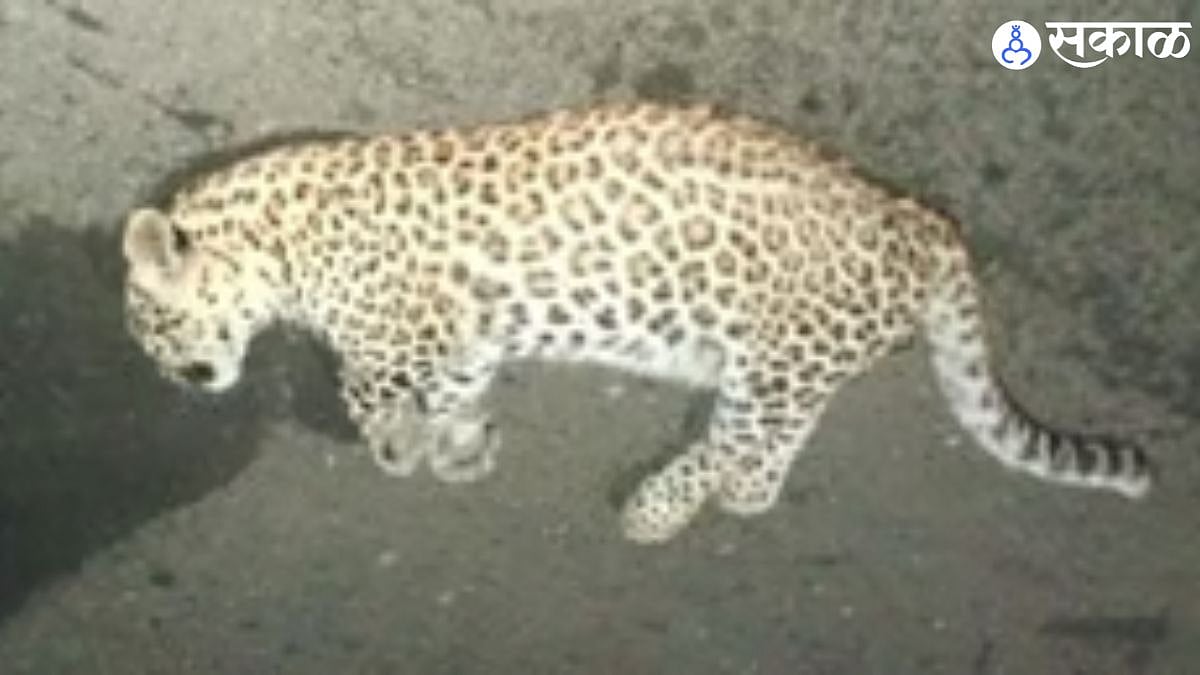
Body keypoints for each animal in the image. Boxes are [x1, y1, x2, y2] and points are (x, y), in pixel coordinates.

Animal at [122, 101, 1153, 544]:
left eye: (158, 334)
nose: (177, 382)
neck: (274, 237)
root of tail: (924, 224)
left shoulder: (396, 337)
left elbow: (370, 393)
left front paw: (401, 449)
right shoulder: (467, 339)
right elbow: (456, 393)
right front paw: (458, 449)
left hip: (776, 357)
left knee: (734, 438)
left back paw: (657, 508)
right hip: (793, 367)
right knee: (770, 446)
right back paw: (741, 495)